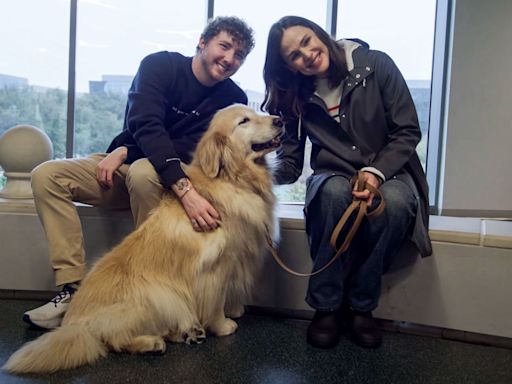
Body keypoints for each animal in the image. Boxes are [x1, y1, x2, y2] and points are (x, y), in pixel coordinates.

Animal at [5, 103, 284, 374]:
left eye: (256, 111)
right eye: (244, 121)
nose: (279, 120)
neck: (232, 177)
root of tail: (75, 325)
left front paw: (233, 310)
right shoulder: (216, 267)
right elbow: (215, 300)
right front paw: (223, 324)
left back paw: (187, 332)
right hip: (157, 296)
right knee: (113, 340)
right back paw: (153, 343)